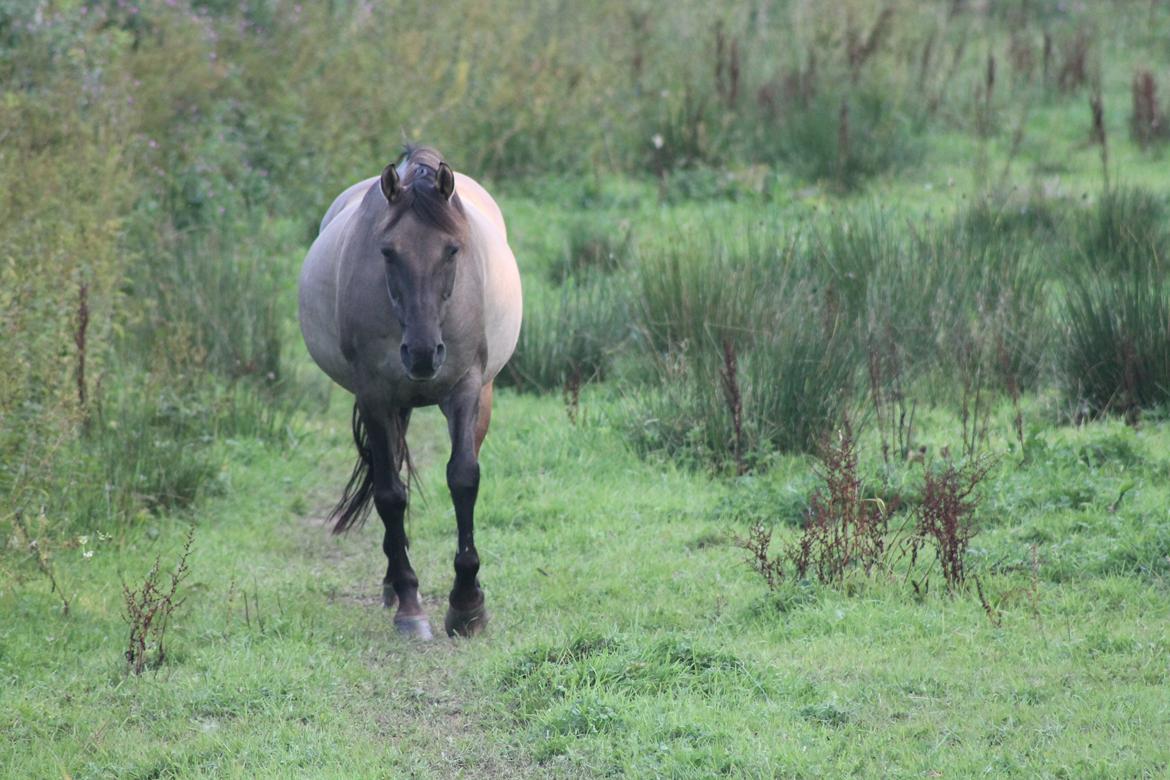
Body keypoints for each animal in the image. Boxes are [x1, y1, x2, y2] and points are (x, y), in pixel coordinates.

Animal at [299, 147, 524, 640]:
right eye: (387, 251)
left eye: (453, 249)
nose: (423, 355)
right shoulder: (375, 396)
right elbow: (389, 494)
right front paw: (409, 603)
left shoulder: (465, 389)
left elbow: (463, 478)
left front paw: (467, 604)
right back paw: (393, 585)